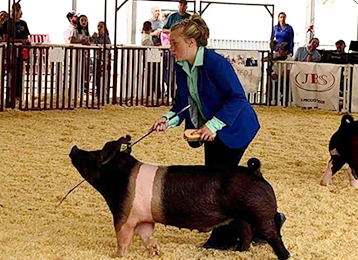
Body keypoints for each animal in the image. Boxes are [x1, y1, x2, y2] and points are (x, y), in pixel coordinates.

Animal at [68, 136, 290, 260]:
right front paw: (157, 253)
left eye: (92, 156)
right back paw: (239, 252)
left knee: (272, 235)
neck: (119, 177)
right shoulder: (144, 219)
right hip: (242, 218)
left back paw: (284, 256)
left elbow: (122, 237)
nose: (74, 148)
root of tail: (256, 173)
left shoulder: (123, 215)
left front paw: (117, 256)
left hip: (260, 214)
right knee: (247, 233)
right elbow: (147, 236)